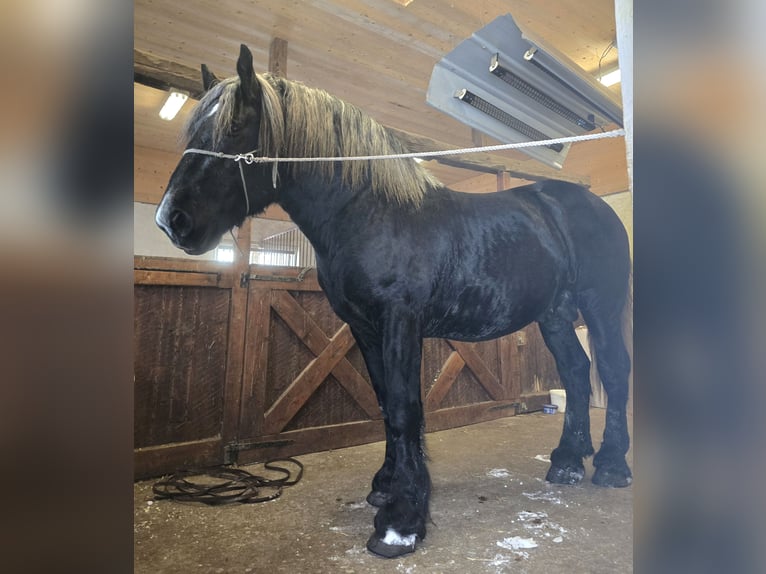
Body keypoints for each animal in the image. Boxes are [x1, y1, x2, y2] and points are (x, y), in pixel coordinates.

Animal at [156, 45, 636, 564]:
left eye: (235, 128)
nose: (170, 220)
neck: (369, 212)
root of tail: (593, 204)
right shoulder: (364, 328)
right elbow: (386, 405)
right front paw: (387, 488)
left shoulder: (399, 322)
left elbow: (406, 409)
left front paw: (400, 523)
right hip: (554, 315)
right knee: (576, 371)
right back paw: (568, 462)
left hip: (600, 306)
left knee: (612, 370)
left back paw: (611, 465)